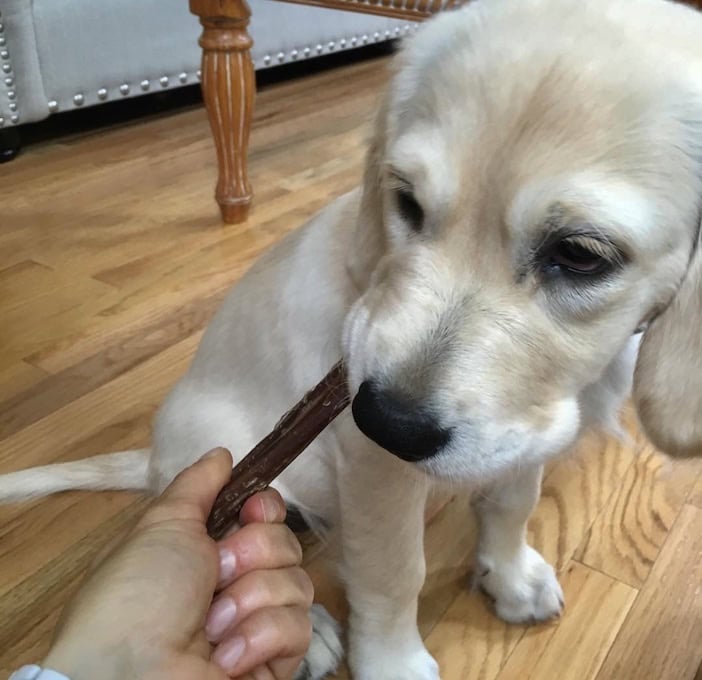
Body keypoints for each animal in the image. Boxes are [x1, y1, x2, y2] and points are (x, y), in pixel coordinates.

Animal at [1, 0, 702, 676]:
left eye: (581, 255)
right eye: (406, 201)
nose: (385, 419)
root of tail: (152, 461)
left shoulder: (523, 433)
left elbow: (512, 503)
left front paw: (508, 574)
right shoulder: (373, 468)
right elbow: (394, 573)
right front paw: (393, 662)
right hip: (224, 458)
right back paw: (304, 635)